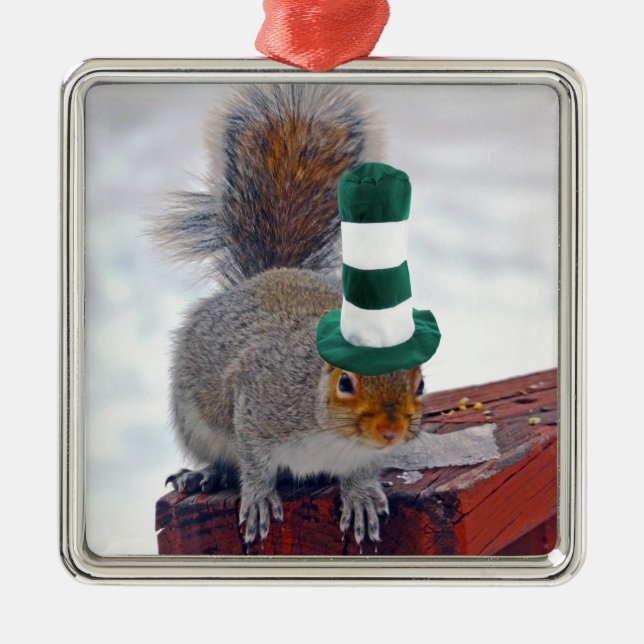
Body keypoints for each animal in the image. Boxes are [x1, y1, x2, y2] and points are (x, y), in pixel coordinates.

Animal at [155, 85, 426, 546]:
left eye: (420, 385)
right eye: (346, 383)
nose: (390, 432)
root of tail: (270, 273)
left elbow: (364, 471)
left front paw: (361, 494)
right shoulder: (256, 403)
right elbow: (253, 461)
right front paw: (259, 497)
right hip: (193, 420)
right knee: (221, 455)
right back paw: (206, 475)